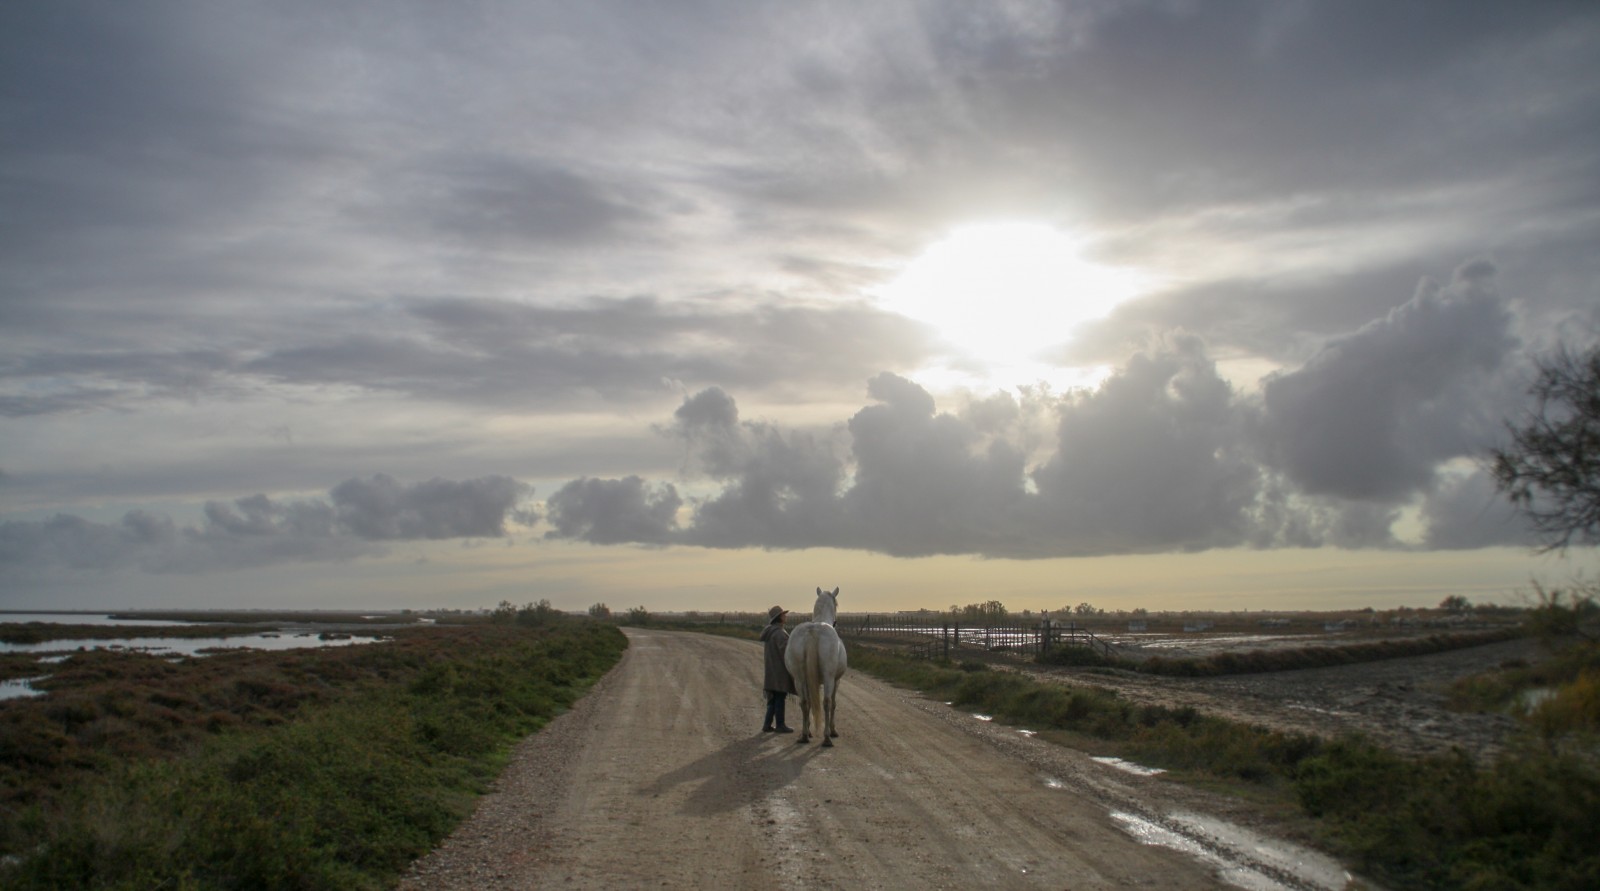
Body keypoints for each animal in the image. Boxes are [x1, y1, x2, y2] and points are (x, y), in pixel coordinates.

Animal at [787, 582, 851, 742]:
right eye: (836, 604)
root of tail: (812, 631)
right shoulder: (836, 680)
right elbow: (833, 703)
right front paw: (833, 730)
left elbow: (809, 703)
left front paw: (809, 730)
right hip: (828, 678)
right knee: (827, 702)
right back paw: (827, 737)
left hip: (799, 679)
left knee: (804, 702)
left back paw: (804, 735)